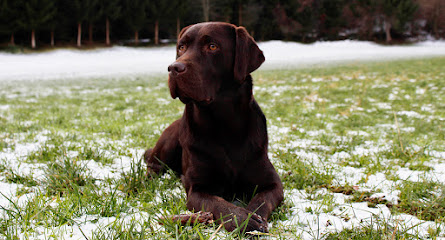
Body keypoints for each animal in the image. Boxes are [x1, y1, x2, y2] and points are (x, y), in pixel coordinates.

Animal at [146, 22, 284, 232]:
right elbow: (219, 204)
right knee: (152, 165)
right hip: (167, 144)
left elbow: (261, 200)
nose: (174, 68)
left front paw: (255, 219)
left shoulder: (273, 183)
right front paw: (243, 220)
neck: (223, 124)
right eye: (181, 47)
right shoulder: (197, 189)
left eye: (212, 46)